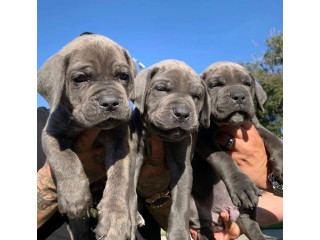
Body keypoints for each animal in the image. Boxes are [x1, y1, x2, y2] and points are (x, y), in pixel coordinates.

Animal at [37, 32, 138, 239]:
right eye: (80, 78)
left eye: (123, 76)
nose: (110, 102)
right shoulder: (51, 133)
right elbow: (65, 158)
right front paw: (74, 196)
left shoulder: (121, 141)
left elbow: (119, 178)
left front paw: (115, 218)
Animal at [129, 60, 210, 240]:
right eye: (161, 89)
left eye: (197, 97)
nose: (182, 113)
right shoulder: (134, 157)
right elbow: (129, 189)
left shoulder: (182, 166)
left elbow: (180, 202)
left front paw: (179, 234)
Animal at [188, 61, 282, 238]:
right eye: (215, 85)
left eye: (247, 84)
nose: (239, 96)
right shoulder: (203, 138)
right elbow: (224, 158)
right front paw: (242, 185)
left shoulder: (255, 126)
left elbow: (275, 139)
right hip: (194, 209)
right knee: (202, 228)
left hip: (247, 210)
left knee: (251, 225)